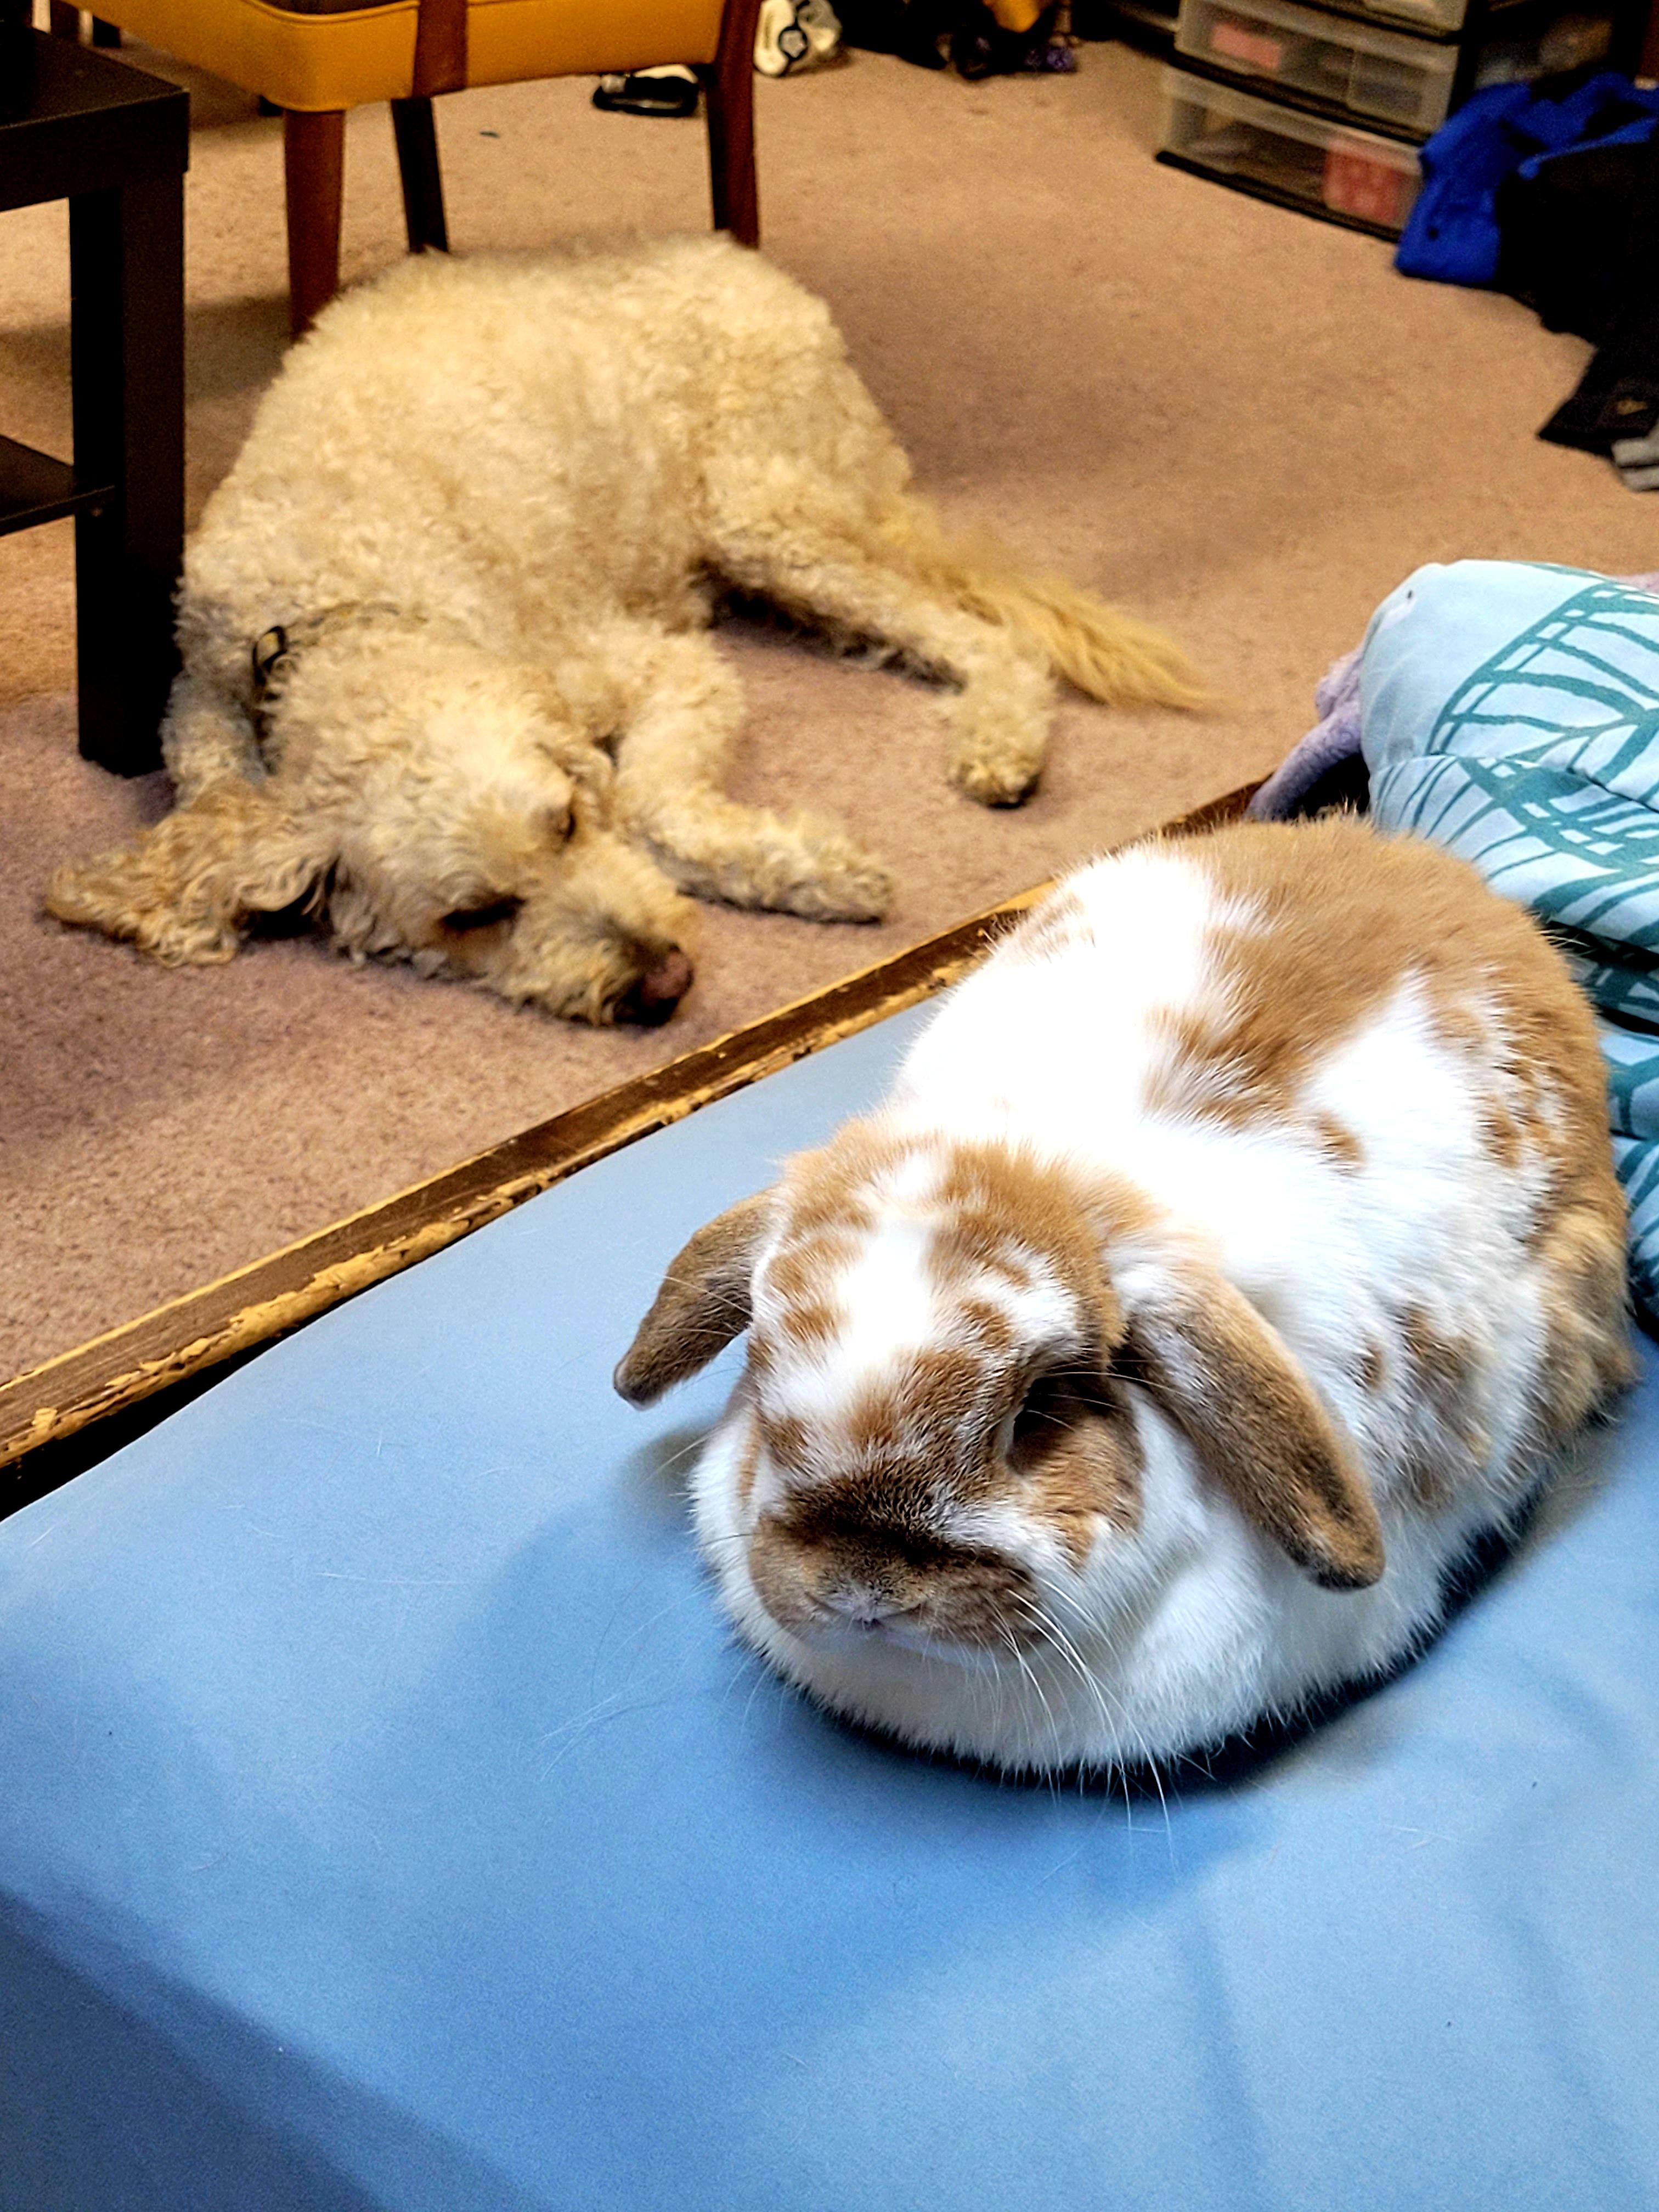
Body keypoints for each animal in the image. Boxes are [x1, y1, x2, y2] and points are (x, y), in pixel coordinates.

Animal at [47, 236, 1201, 1025]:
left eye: (563, 824)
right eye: (470, 917)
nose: (664, 980)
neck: (337, 609)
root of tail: (751, 264)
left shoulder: (656, 672)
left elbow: (652, 801)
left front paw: (814, 872)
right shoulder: (200, 721)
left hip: (767, 514)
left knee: (981, 637)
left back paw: (999, 740)